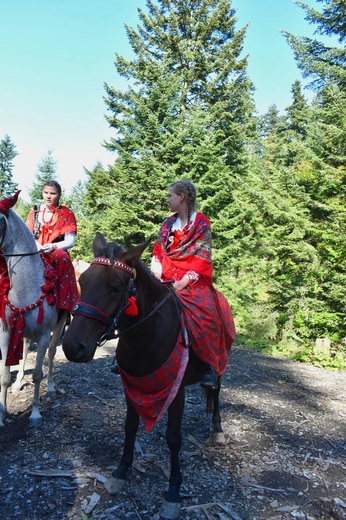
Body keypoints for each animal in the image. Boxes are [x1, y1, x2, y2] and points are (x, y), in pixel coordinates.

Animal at [0, 207, 67, 426]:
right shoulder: (6, 335)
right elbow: (4, 376)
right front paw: (2, 413)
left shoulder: (44, 337)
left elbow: (38, 374)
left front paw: (35, 413)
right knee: (25, 349)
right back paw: (19, 381)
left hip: (58, 328)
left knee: (52, 354)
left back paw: (52, 387)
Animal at [62, 234, 227, 520]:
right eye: (82, 282)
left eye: (116, 288)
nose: (73, 347)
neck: (148, 335)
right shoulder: (131, 386)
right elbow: (130, 428)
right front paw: (121, 471)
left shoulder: (177, 392)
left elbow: (174, 439)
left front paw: (173, 491)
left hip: (218, 363)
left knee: (215, 391)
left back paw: (217, 428)